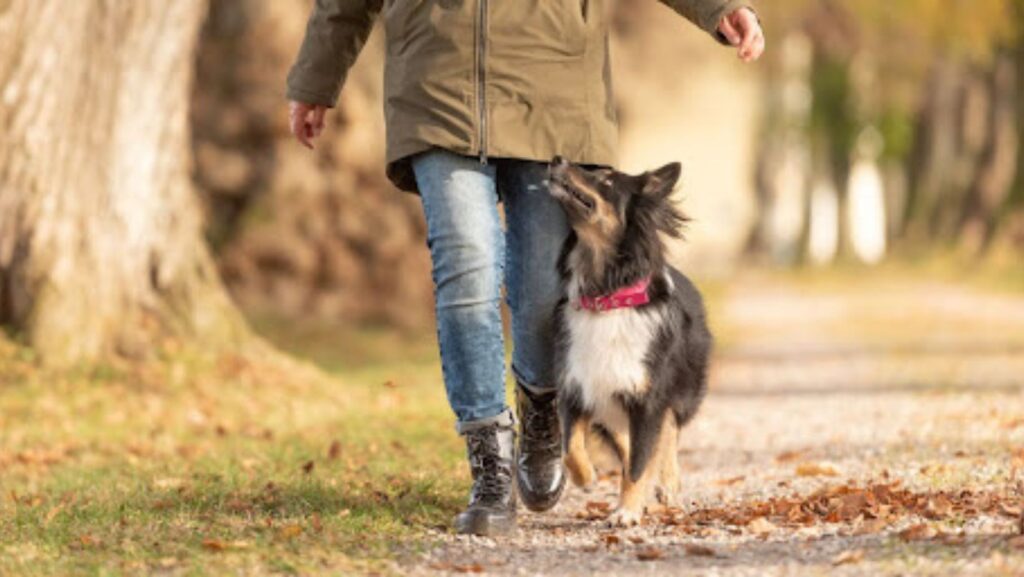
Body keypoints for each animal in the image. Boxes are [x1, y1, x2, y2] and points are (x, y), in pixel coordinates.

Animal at [548, 155, 708, 524]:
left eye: (606, 180)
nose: (556, 159)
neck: (606, 299)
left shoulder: (648, 399)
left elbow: (639, 462)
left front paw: (627, 513)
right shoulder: (576, 387)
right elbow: (570, 448)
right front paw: (587, 477)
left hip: (681, 388)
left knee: (668, 433)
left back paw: (667, 485)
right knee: (626, 440)